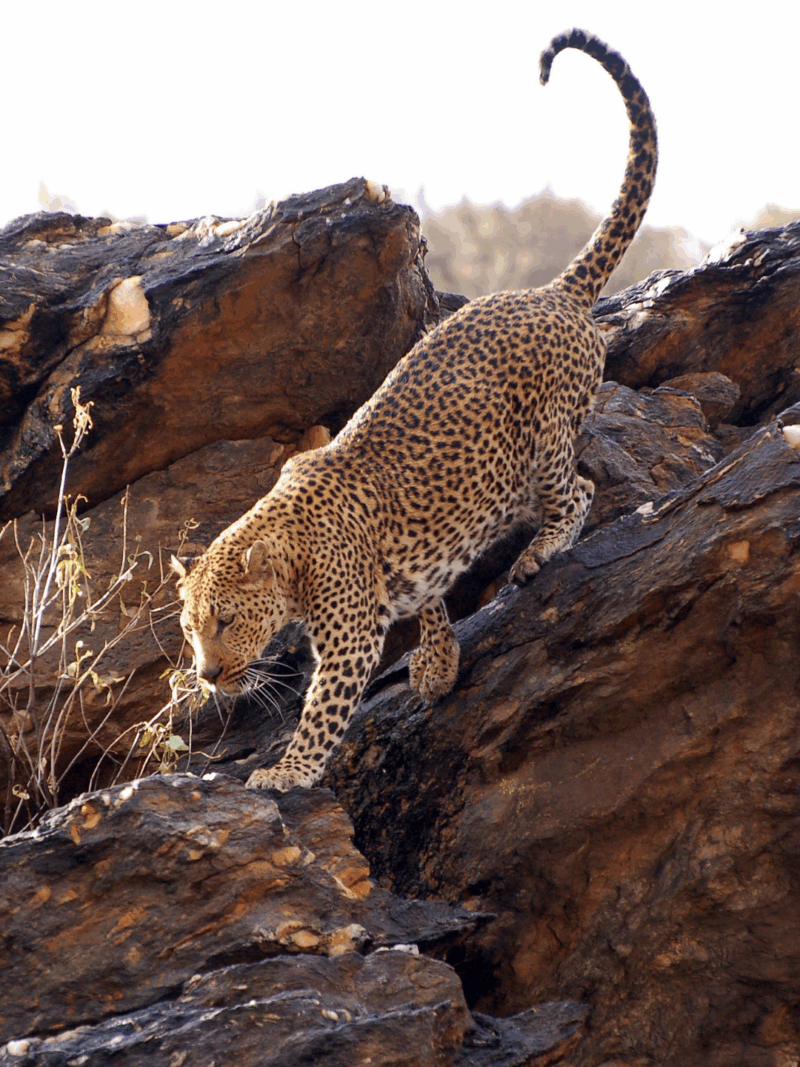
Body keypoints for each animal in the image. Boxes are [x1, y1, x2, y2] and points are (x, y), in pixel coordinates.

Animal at [173, 28, 658, 791]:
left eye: (224, 621)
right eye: (191, 630)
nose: (209, 676)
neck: (292, 551)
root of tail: (553, 293)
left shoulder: (349, 636)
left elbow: (321, 712)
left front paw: (287, 772)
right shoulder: (406, 573)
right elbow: (427, 592)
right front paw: (435, 663)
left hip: (544, 447)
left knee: (578, 490)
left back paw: (541, 551)